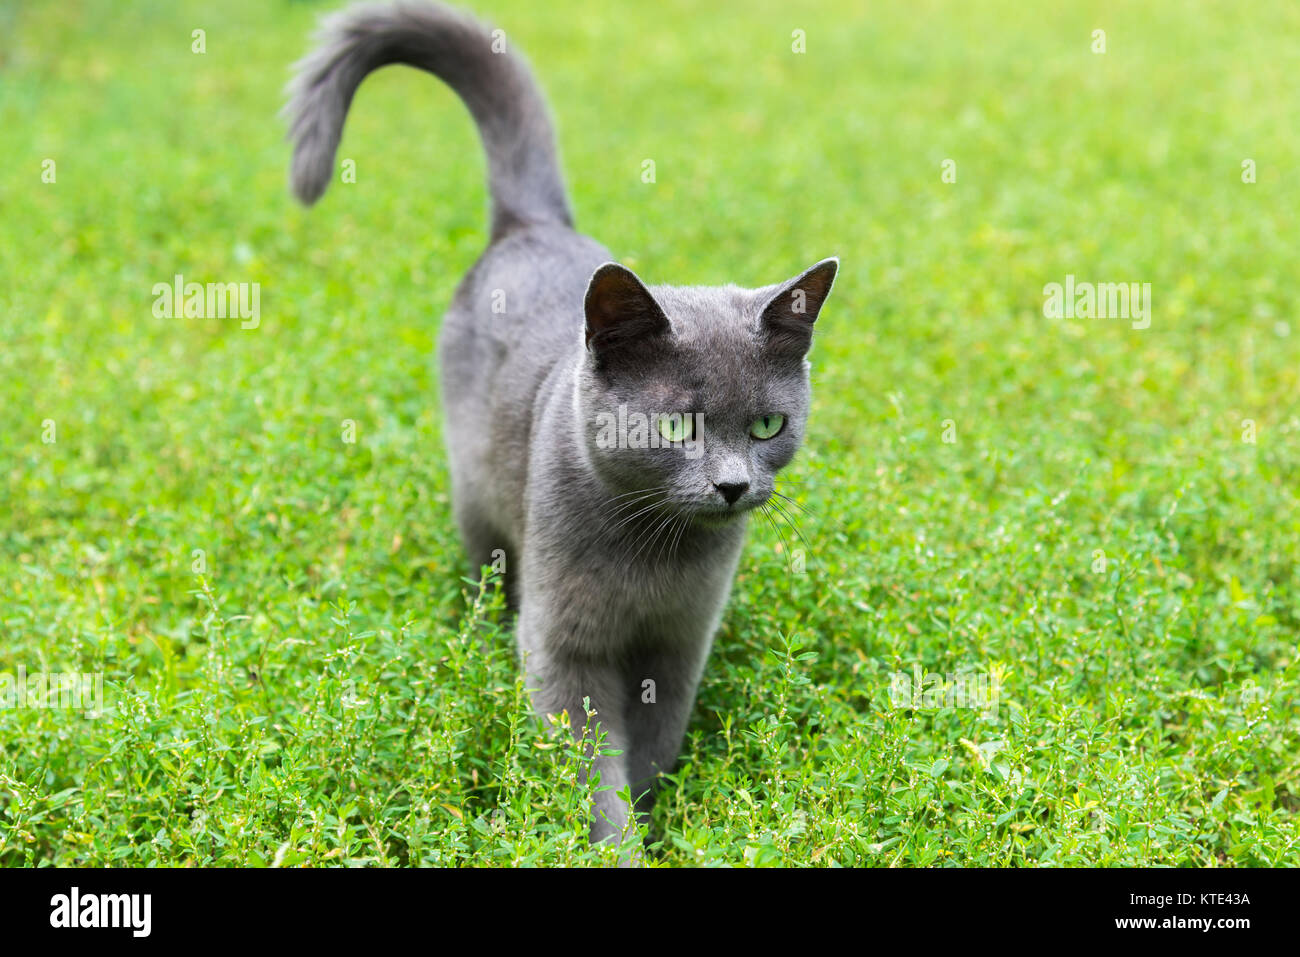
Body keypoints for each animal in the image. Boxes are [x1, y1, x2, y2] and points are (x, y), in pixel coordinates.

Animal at [286, 0, 837, 852]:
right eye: (677, 428)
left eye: (768, 423)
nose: (733, 485)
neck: (654, 556)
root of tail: (529, 224)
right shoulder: (564, 645)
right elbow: (589, 765)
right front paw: (618, 846)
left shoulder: (680, 643)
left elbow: (652, 747)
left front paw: (657, 822)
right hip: (476, 501)